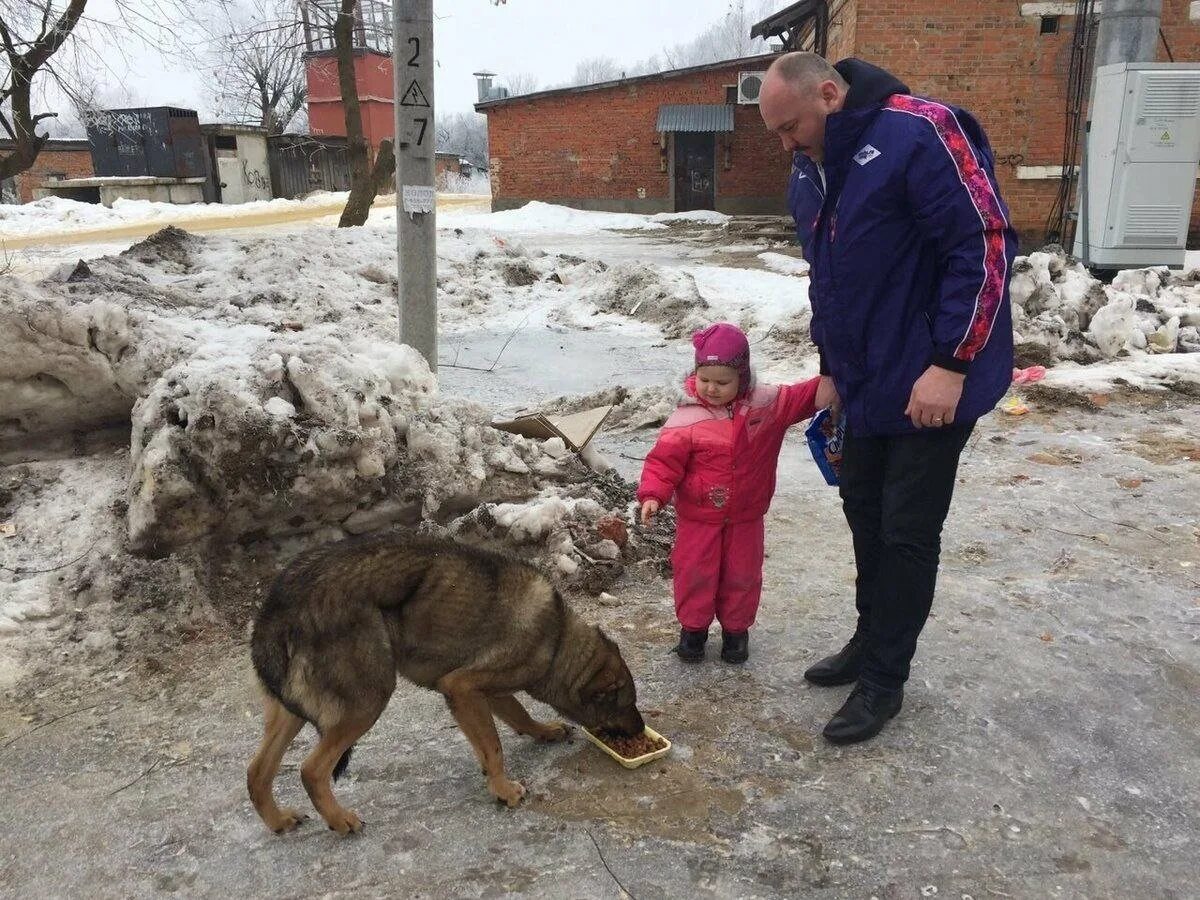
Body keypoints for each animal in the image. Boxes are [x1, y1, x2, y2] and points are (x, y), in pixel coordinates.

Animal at [246, 531, 645, 834]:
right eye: (627, 704)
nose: (642, 730)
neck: (557, 639)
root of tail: (278, 608)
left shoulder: (490, 693)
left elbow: (519, 716)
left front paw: (544, 731)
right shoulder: (462, 686)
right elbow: (493, 747)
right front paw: (502, 788)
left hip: (291, 712)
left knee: (257, 772)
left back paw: (278, 820)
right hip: (368, 700)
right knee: (311, 770)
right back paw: (340, 819)